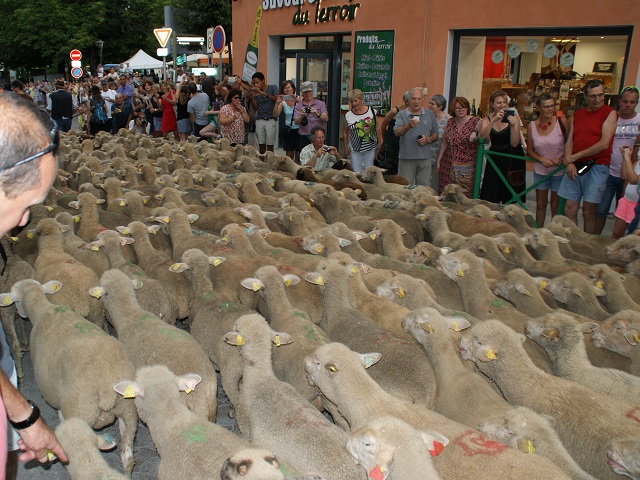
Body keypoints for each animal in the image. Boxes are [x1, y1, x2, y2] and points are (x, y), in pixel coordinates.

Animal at [1, 280, 138, 474]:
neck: (42, 310)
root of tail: (105, 389)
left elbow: (59, 413)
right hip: (128, 410)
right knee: (127, 455)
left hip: (82, 412)